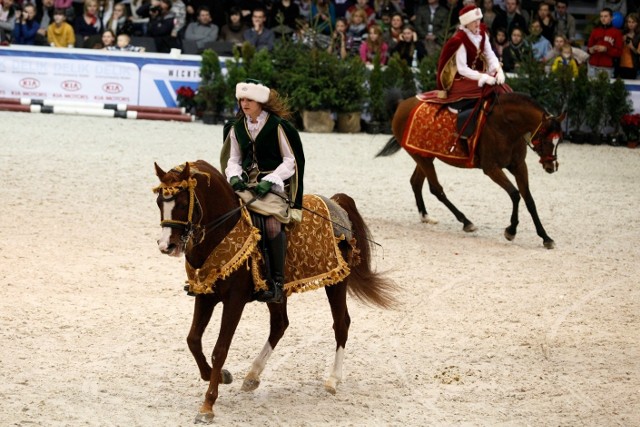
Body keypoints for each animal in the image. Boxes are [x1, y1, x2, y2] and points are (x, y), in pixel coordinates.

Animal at [155, 161, 396, 424]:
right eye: (159, 202)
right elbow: (193, 340)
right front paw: (219, 376)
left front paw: (208, 405)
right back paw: (252, 375)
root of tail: (335, 203)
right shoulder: (205, 296)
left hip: (337, 281)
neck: (225, 230)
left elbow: (220, 350)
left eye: (181, 203)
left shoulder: (234, 301)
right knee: (280, 324)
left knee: (341, 324)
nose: (166, 246)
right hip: (278, 294)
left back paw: (332, 380)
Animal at [378, 92, 568, 249]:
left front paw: (545, 237)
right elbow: (515, 194)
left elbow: (529, 200)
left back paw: (426, 216)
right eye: (545, 139)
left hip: (425, 155)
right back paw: (466, 222)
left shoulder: (519, 166)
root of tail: (402, 104)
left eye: (559, 140)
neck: (506, 125)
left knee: (416, 182)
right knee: (436, 189)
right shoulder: (491, 168)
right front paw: (511, 231)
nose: (551, 166)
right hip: (421, 157)